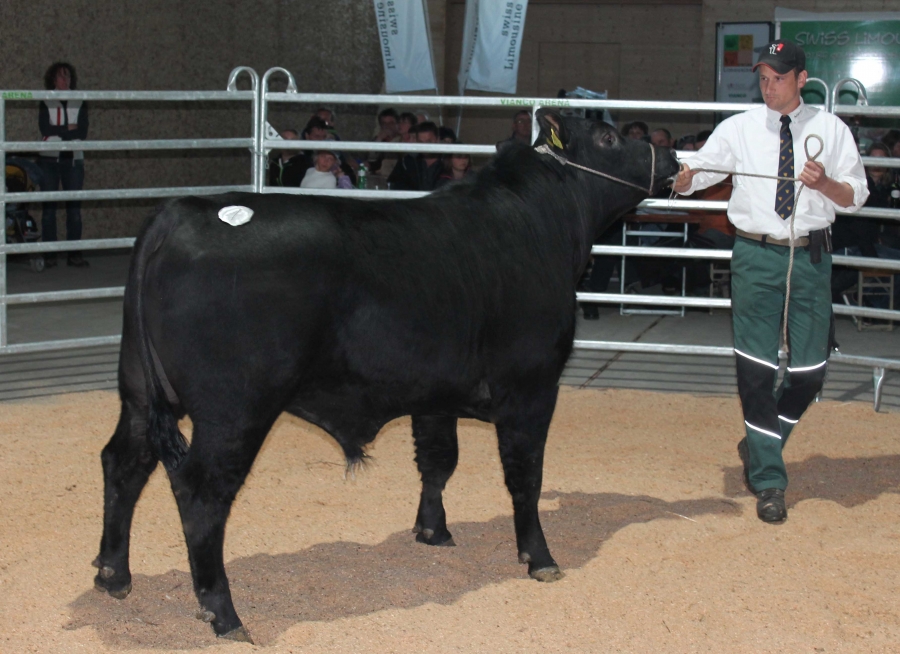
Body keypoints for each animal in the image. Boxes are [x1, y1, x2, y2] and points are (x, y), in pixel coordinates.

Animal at [93, 110, 684, 644]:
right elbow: (525, 477)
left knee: (124, 462)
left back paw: (113, 574)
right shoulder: (532, 386)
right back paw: (224, 613)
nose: (673, 155)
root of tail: (182, 211)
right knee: (200, 493)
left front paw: (432, 530)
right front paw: (539, 557)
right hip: (234, 408)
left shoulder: (435, 392)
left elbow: (438, 461)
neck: (540, 224)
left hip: (140, 391)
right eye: (608, 137)